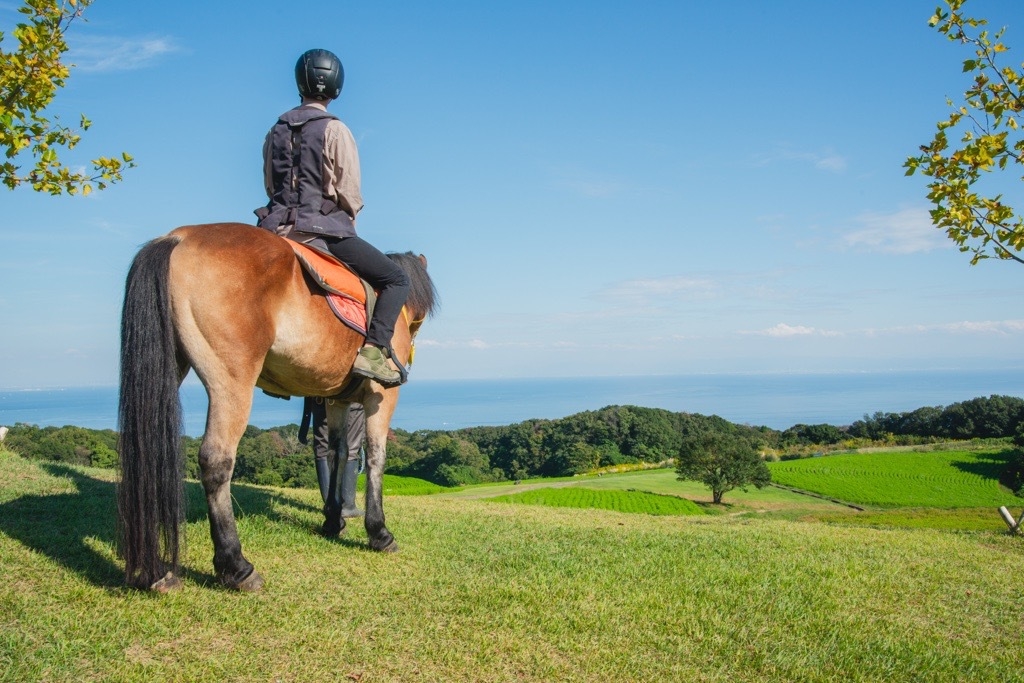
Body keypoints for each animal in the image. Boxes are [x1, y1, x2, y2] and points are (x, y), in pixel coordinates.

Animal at [116, 222, 437, 592]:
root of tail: (180, 236)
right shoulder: (380, 398)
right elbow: (375, 458)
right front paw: (379, 531)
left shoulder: (336, 400)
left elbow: (338, 453)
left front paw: (333, 520)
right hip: (232, 380)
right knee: (216, 460)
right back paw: (236, 565)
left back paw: (156, 571)